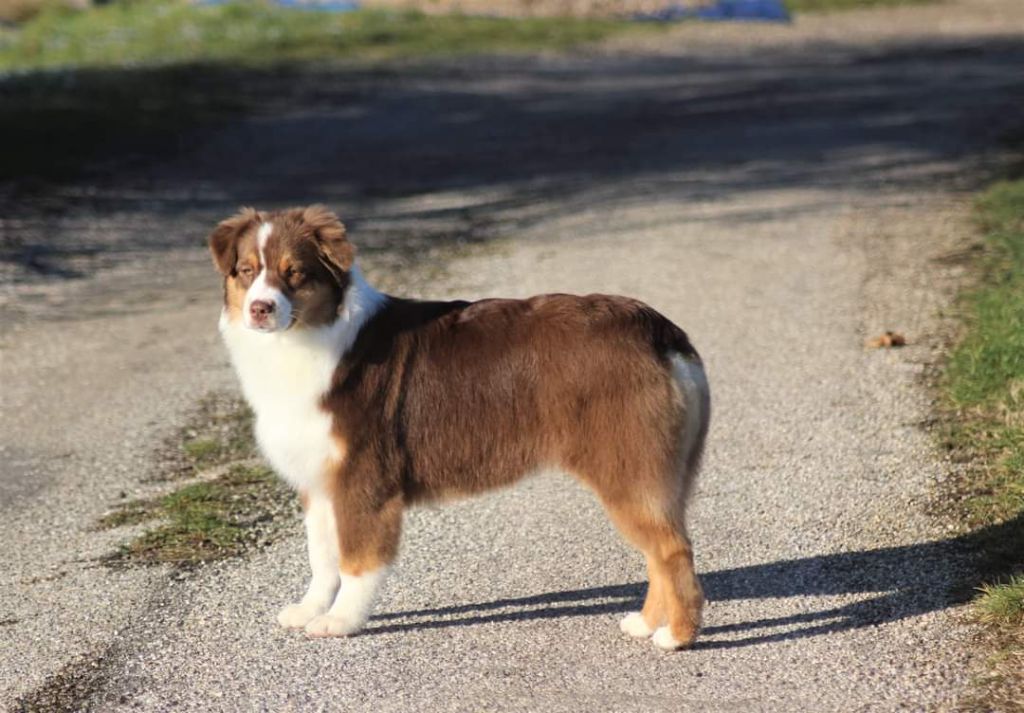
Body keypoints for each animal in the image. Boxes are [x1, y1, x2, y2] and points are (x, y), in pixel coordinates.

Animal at [209, 202, 712, 647]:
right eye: (246, 271)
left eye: (295, 273)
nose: (260, 309)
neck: (310, 336)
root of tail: (661, 330)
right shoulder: (318, 480)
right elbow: (321, 556)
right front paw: (311, 608)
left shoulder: (362, 479)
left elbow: (356, 562)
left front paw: (341, 621)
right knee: (658, 551)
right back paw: (646, 623)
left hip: (627, 467)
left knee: (672, 551)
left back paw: (675, 637)